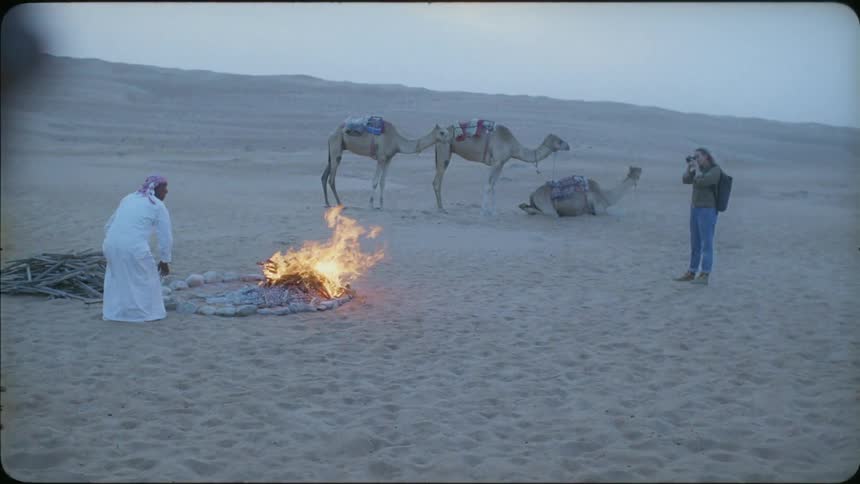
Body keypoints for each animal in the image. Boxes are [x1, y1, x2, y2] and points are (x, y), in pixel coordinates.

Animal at [322, 119, 450, 209]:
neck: (396, 141)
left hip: (336, 149)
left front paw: (382, 205)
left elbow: (383, 182)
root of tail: (331, 134)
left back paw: (327, 203)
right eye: (442, 132)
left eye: (447, 132)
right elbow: (375, 182)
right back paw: (340, 204)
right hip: (336, 147)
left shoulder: (388, 159)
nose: (449, 139)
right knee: (331, 179)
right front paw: (371, 205)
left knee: (324, 176)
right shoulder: (381, 158)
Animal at [432, 122, 570, 215]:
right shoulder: (496, 162)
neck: (513, 146)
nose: (568, 146)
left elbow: (494, 186)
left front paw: (493, 212)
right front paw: (483, 212)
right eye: (559, 141)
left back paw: (441, 208)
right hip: (444, 148)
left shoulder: (501, 163)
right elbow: (488, 186)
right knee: (437, 181)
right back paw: (441, 209)